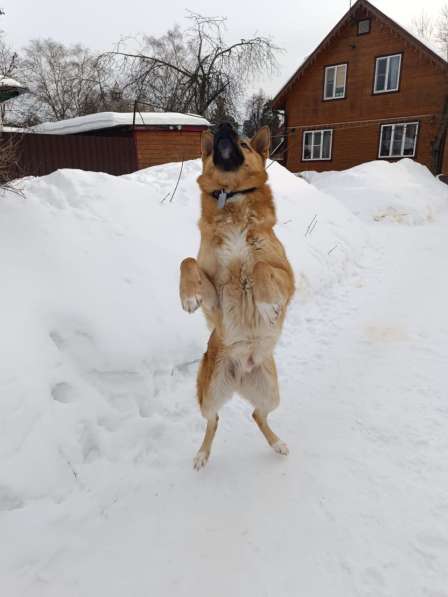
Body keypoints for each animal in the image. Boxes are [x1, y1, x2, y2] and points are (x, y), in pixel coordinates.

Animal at [178, 123, 294, 468]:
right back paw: (202, 454)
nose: (224, 126)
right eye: (223, 136)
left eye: (244, 143)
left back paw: (277, 443)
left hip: (272, 393)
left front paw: (267, 304)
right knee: (213, 420)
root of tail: (242, 371)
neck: (230, 198)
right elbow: (186, 261)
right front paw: (188, 297)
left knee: (257, 415)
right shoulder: (215, 298)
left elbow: (260, 267)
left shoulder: (287, 276)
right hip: (209, 393)